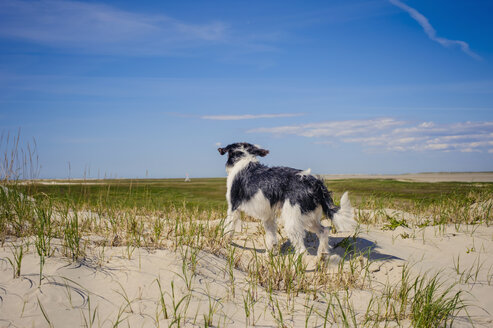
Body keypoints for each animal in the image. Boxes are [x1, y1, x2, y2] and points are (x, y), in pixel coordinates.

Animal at [217, 142, 356, 258]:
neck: (244, 160)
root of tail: (315, 183)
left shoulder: (233, 208)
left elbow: (228, 228)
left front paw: (224, 242)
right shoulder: (268, 216)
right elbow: (271, 237)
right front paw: (269, 255)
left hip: (293, 221)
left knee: (302, 251)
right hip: (309, 218)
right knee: (324, 231)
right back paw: (321, 254)